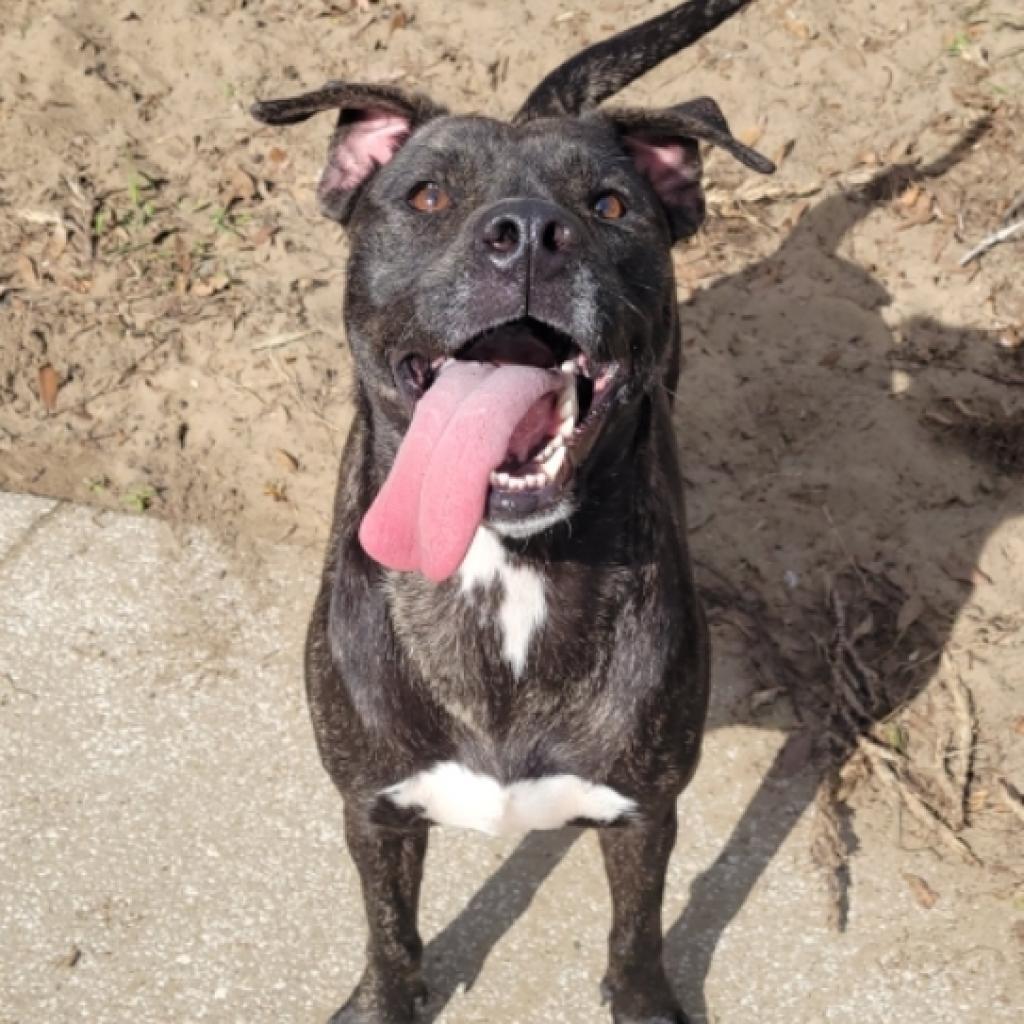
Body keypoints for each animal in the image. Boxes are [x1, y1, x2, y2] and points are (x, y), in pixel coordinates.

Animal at [251, 4, 770, 1019]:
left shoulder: (644, 810)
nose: (529, 230)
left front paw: (642, 998)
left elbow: (637, 933)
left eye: (610, 206)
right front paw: (386, 998)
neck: (504, 570)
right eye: (425, 198)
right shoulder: (372, 809)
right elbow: (389, 935)